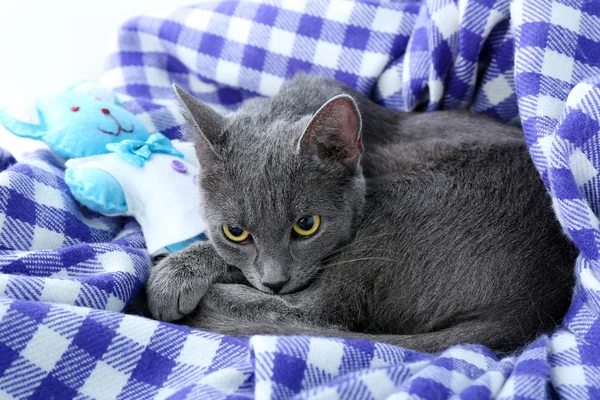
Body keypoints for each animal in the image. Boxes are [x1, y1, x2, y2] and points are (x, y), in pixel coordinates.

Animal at [145, 74, 576, 354]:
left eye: (307, 225)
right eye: (235, 231)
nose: (274, 282)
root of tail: (534, 306)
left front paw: (173, 276)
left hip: (400, 206)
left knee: (321, 309)